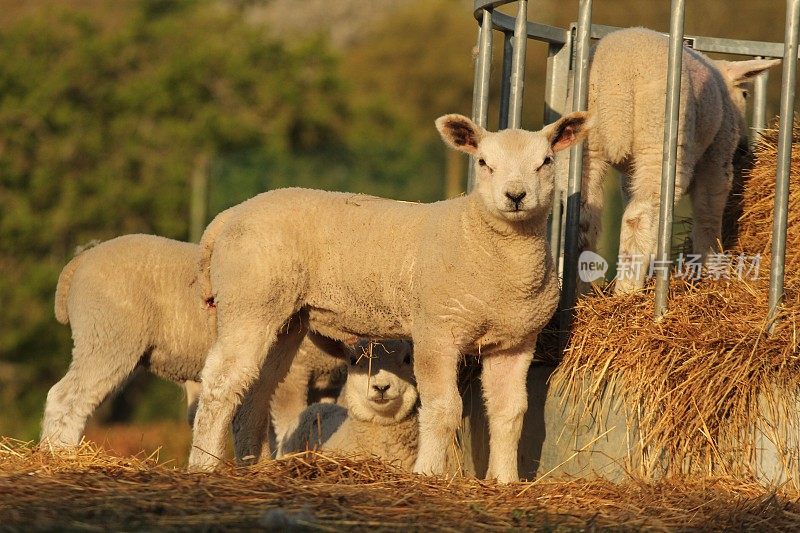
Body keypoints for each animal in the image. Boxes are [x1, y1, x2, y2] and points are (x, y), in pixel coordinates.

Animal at [42, 234, 344, 462]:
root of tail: (80, 262)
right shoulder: (293, 376)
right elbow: (286, 423)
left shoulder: (327, 385)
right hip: (107, 335)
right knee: (64, 396)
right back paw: (59, 455)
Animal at [560, 26, 780, 290]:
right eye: (746, 93)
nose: (745, 148)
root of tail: (615, 85)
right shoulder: (717, 155)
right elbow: (708, 212)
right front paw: (712, 266)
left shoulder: (630, 173)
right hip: (658, 138)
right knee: (639, 217)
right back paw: (628, 289)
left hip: (583, 145)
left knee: (584, 216)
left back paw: (581, 291)